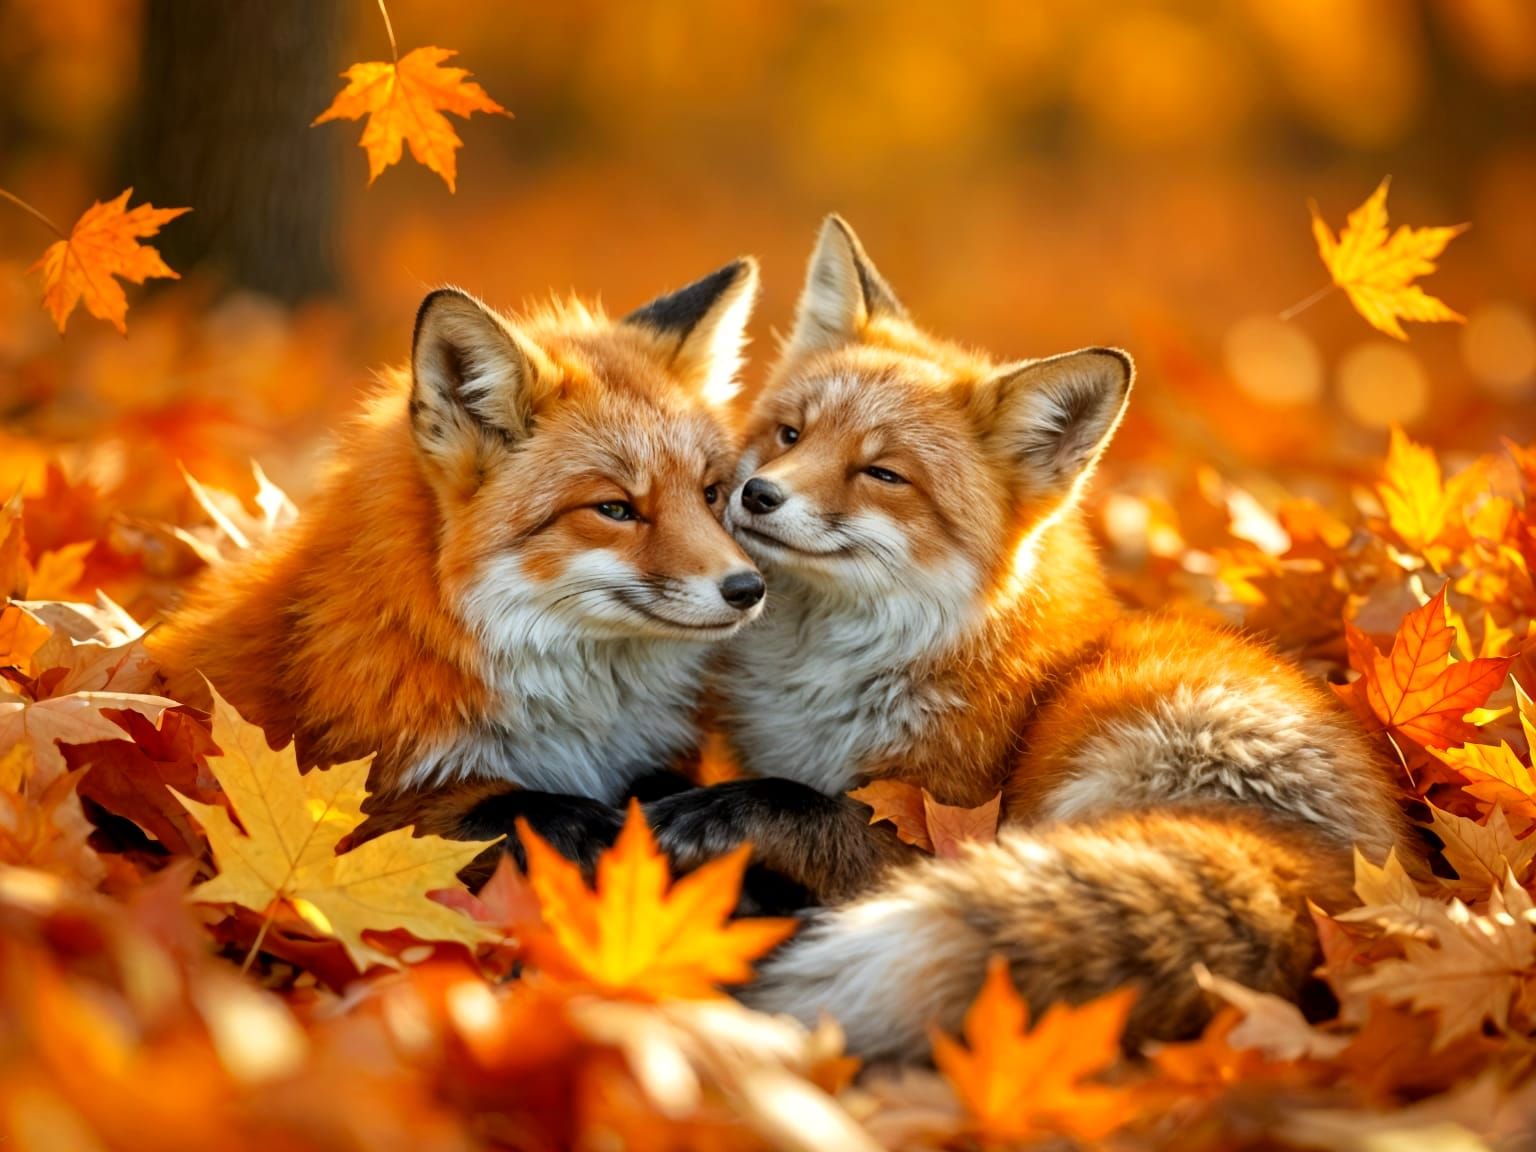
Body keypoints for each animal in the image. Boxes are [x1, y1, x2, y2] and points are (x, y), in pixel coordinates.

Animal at [645, 216, 1414, 1058]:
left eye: (882, 474)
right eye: (788, 434)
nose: (757, 494)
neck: (839, 670)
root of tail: (1335, 876)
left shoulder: (922, 822)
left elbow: (796, 804)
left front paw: (711, 817)